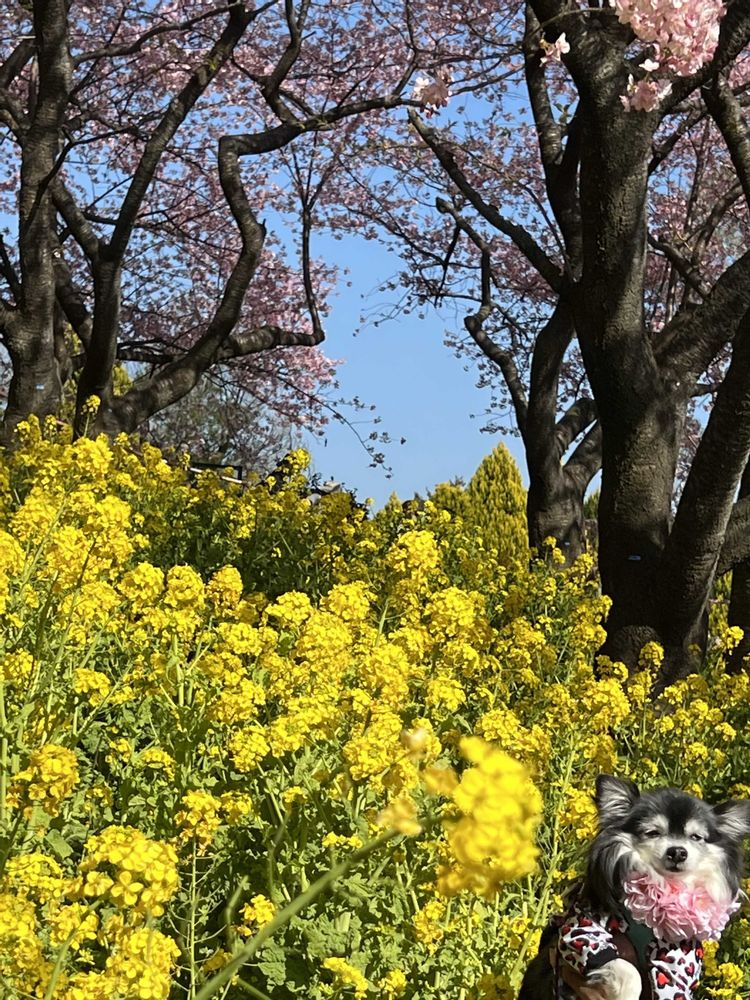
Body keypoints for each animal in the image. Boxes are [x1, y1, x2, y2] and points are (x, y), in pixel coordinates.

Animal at [519, 775, 750, 1000]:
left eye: (696, 837)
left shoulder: (676, 954)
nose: (677, 852)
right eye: (653, 832)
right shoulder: (580, 930)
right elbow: (626, 968)